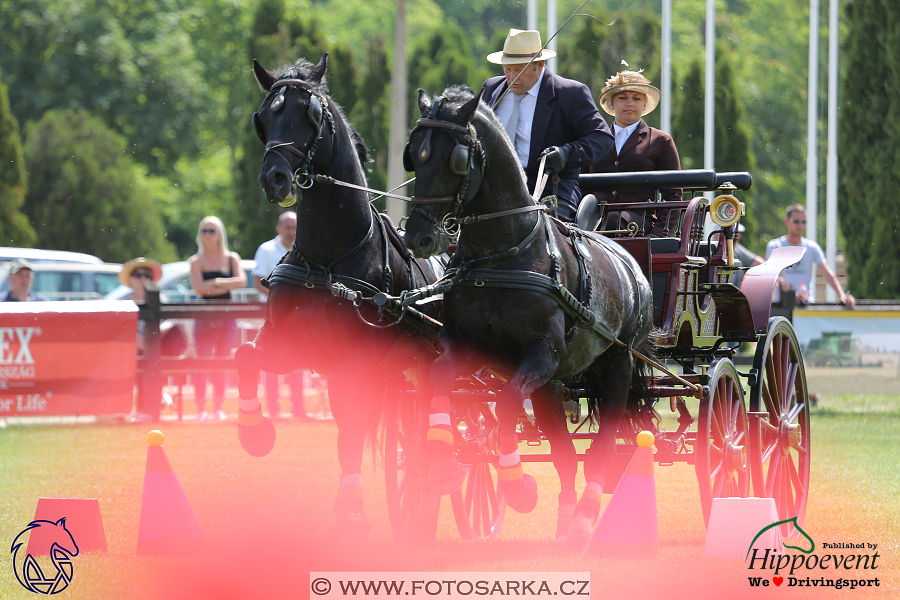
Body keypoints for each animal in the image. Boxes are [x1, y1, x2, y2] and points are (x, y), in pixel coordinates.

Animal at [234, 54, 442, 536]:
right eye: (264, 116)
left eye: (311, 114)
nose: (274, 178)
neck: (329, 258)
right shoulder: (289, 345)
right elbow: (244, 356)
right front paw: (255, 432)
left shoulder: (359, 364)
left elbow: (351, 434)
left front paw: (350, 508)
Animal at [406, 86, 652, 552]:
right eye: (414, 155)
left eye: (455, 159)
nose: (418, 238)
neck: (502, 254)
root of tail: (629, 260)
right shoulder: (464, 344)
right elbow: (439, 377)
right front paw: (443, 461)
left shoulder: (543, 354)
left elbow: (504, 404)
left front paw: (517, 485)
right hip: (553, 387)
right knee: (566, 457)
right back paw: (567, 525)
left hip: (616, 365)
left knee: (604, 448)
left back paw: (584, 522)